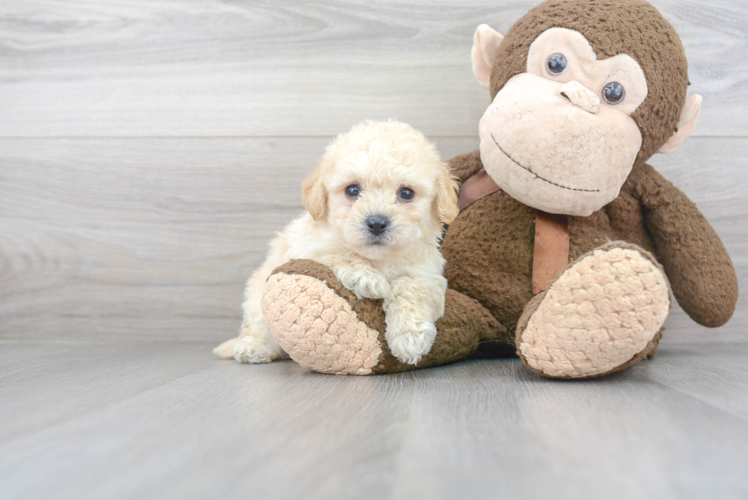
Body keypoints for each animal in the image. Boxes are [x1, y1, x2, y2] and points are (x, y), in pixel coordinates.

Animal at [213, 119, 458, 366]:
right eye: (352, 190)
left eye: (406, 193)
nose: (377, 223)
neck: (377, 259)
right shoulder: (306, 246)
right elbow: (339, 251)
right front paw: (367, 278)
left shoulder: (425, 272)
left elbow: (412, 289)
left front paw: (410, 338)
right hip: (257, 299)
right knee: (259, 327)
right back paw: (254, 348)